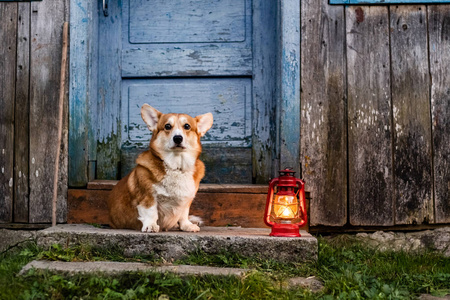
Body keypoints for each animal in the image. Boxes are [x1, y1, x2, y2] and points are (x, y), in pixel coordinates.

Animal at [109, 104, 214, 233]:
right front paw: (151, 226)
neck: (176, 166)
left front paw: (187, 225)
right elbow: (151, 212)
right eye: (167, 126)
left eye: (187, 126)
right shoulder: (148, 197)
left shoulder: (186, 200)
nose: (177, 138)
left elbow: (183, 214)